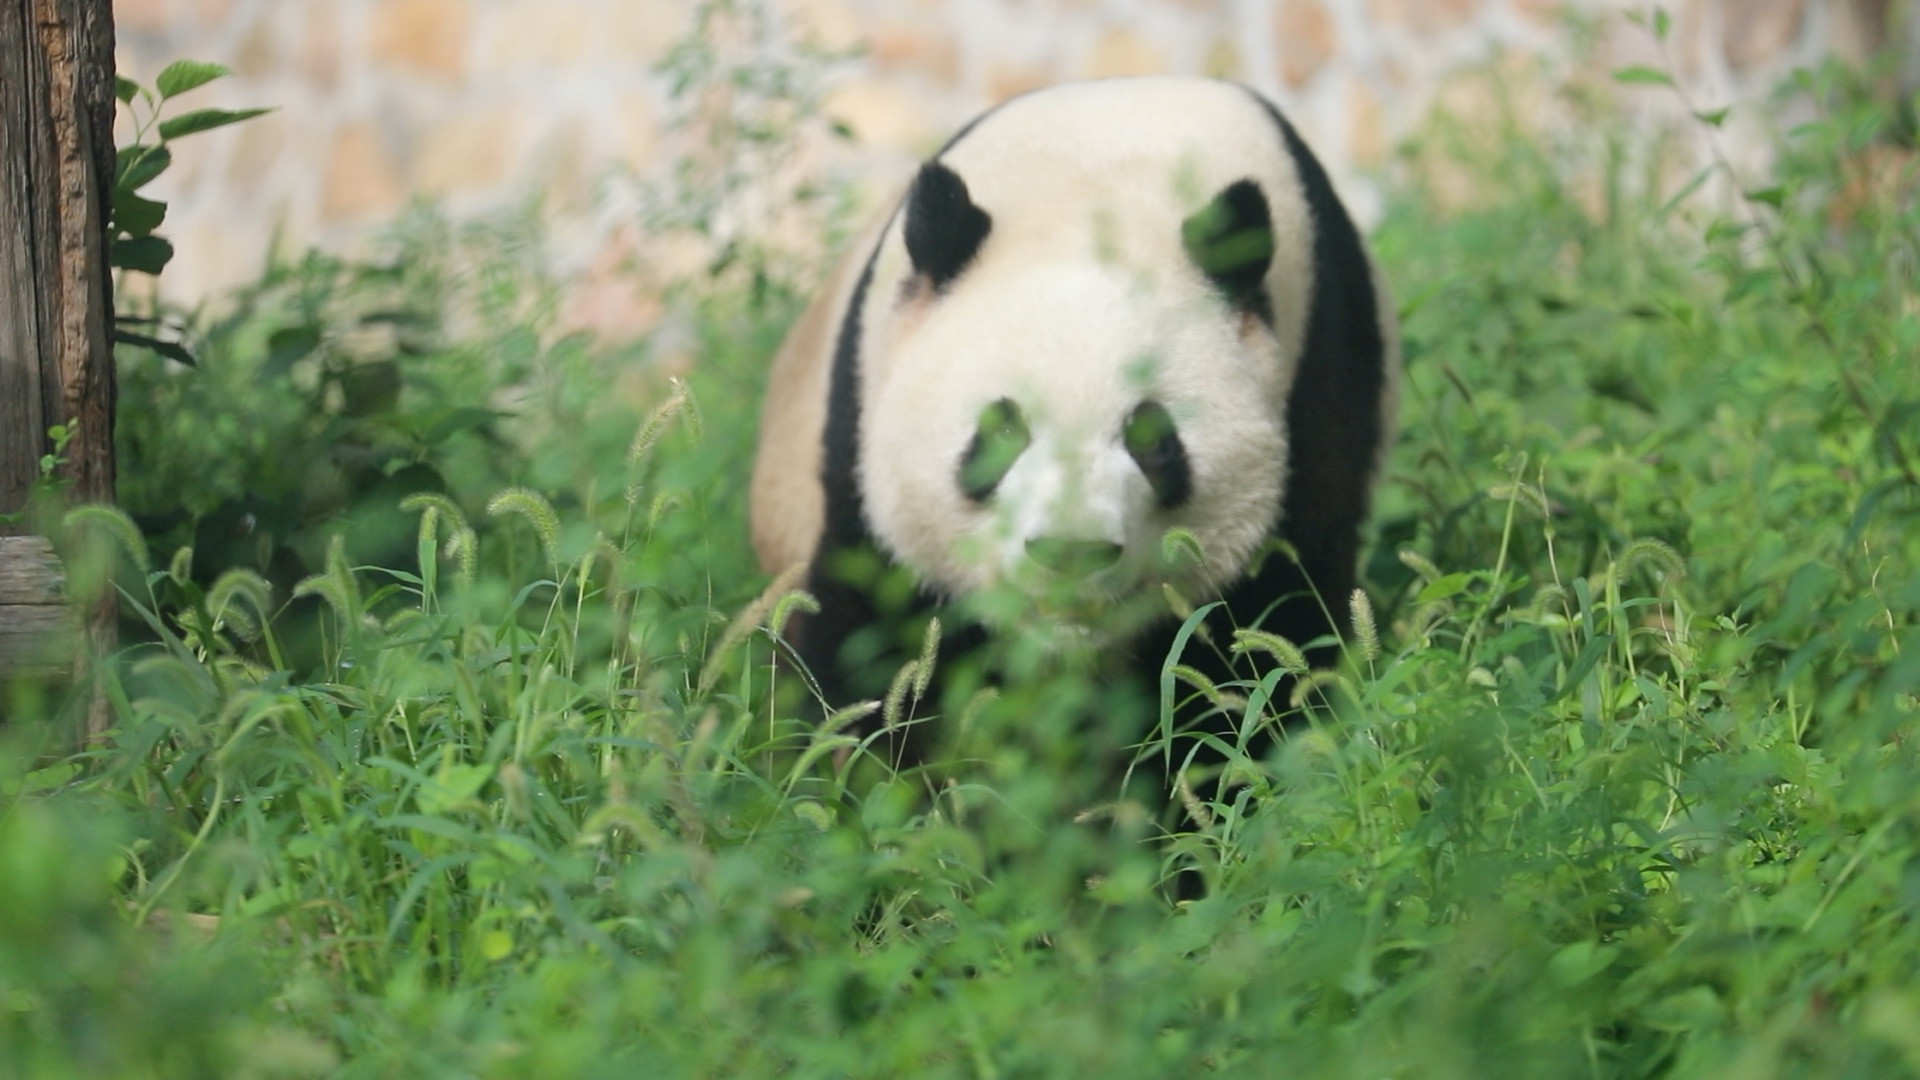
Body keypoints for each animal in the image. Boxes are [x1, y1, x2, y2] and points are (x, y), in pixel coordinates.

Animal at [756, 73, 1405, 764]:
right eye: (1002, 431)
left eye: (1152, 439)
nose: (1071, 553)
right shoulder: (860, 432)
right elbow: (878, 639)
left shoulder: (1322, 375)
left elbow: (1260, 634)